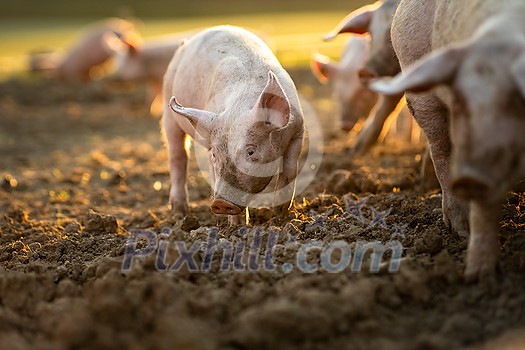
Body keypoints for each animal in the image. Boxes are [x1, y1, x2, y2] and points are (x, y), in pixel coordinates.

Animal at [163, 26, 302, 226]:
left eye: (251, 151)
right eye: (216, 154)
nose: (220, 203)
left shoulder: (298, 128)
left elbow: (290, 169)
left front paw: (281, 213)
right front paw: (238, 226)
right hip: (168, 114)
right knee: (177, 156)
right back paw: (180, 213)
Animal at [372, 0, 525, 280]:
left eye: (518, 100)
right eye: (462, 100)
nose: (470, 177)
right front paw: (479, 277)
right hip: (418, 79)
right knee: (440, 149)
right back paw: (459, 230)